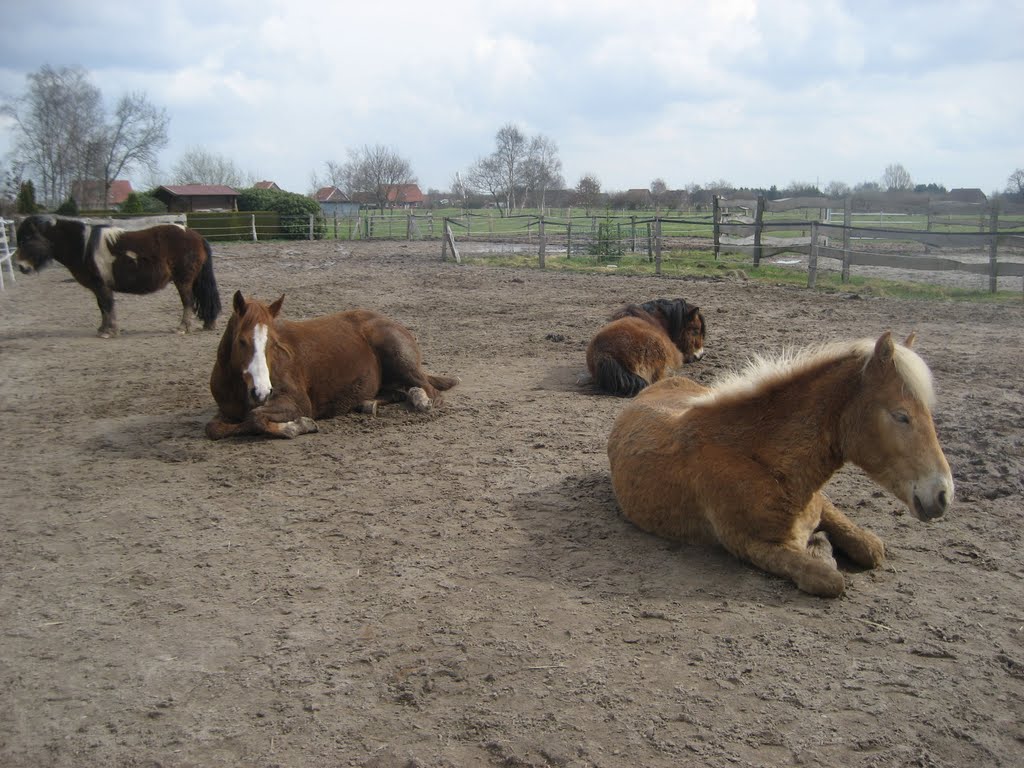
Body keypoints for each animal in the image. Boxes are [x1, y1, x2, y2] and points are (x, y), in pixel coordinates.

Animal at [14, 215, 223, 337]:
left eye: (27, 239)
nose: (21, 267)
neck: (84, 247)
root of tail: (196, 236)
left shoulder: (101, 285)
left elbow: (107, 306)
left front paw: (110, 330)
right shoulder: (98, 287)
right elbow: (102, 307)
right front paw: (103, 329)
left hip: (183, 280)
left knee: (187, 302)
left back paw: (182, 328)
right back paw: (208, 323)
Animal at [207, 292, 456, 442]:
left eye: (273, 343)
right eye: (241, 341)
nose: (261, 391)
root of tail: (393, 322)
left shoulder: (297, 402)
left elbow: (255, 417)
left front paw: (297, 426)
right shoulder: (225, 412)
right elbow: (215, 429)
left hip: (400, 359)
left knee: (430, 391)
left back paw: (422, 401)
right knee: (399, 391)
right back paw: (369, 404)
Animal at [606, 333, 950, 598]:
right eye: (901, 415)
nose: (943, 494)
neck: (761, 460)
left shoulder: (823, 505)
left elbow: (872, 547)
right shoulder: (752, 545)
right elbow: (828, 578)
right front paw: (821, 548)